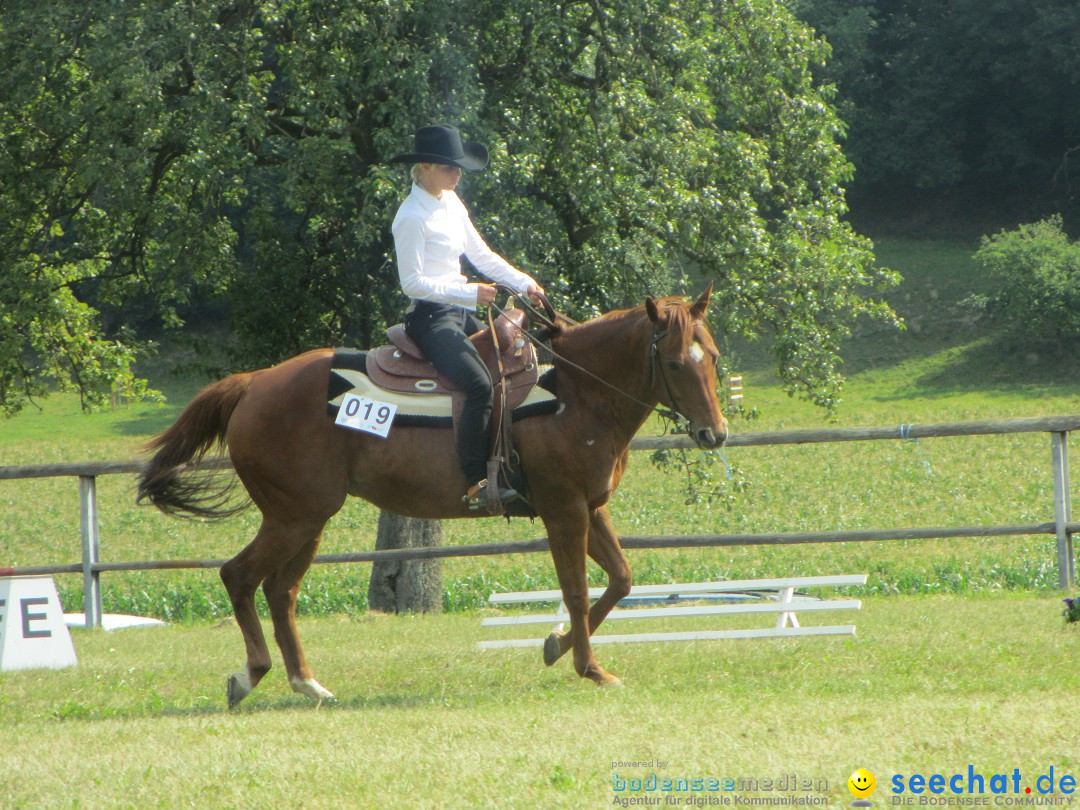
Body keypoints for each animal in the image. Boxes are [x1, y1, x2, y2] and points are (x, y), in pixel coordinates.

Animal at [135, 285, 725, 704]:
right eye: (675, 363)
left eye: (714, 357)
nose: (714, 434)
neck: (576, 393)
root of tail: (254, 383)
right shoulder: (564, 510)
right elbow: (578, 590)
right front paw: (591, 668)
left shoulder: (590, 506)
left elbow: (622, 578)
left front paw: (555, 646)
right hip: (293, 518)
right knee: (239, 576)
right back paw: (250, 675)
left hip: (308, 519)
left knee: (281, 591)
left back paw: (307, 683)